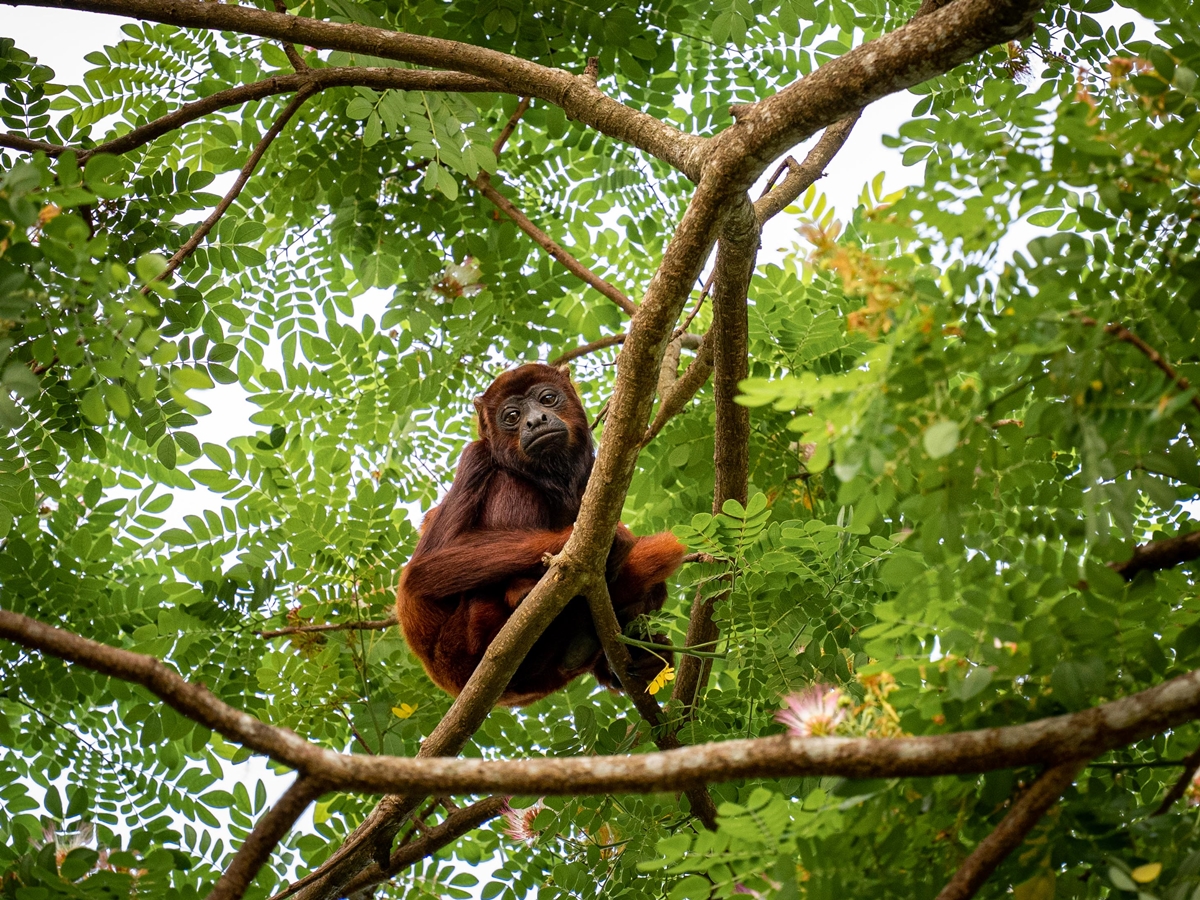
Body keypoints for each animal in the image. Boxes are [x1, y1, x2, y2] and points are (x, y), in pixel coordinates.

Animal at [398, 362, 686, 710]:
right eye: (511, 415)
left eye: (547, 398)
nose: (535, 421)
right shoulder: (475, 455)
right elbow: (425, 569)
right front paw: (613, 541)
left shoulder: (593, 471)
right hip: (462, 638)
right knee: (511, 481)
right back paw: (522, 592)